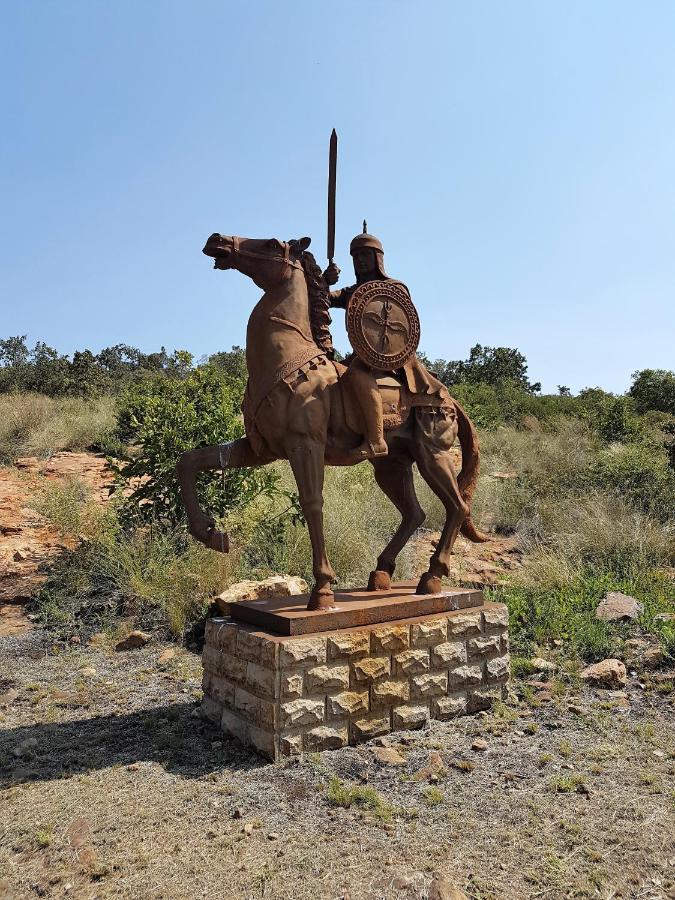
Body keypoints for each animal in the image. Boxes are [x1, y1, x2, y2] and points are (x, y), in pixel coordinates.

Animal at [177, 232, 488, 612]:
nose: (217, 240)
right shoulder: (258, 449)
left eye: (271, 243)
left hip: (433, 456)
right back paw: (381, 574)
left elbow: (312, 503)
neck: (287, 356)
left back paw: (431, 578)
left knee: (457, 506)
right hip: (392, 465)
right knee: (414, 513)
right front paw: (212, 534)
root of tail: (449, 399)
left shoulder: (305, 444)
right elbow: (189, 461)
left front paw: (322, 589)